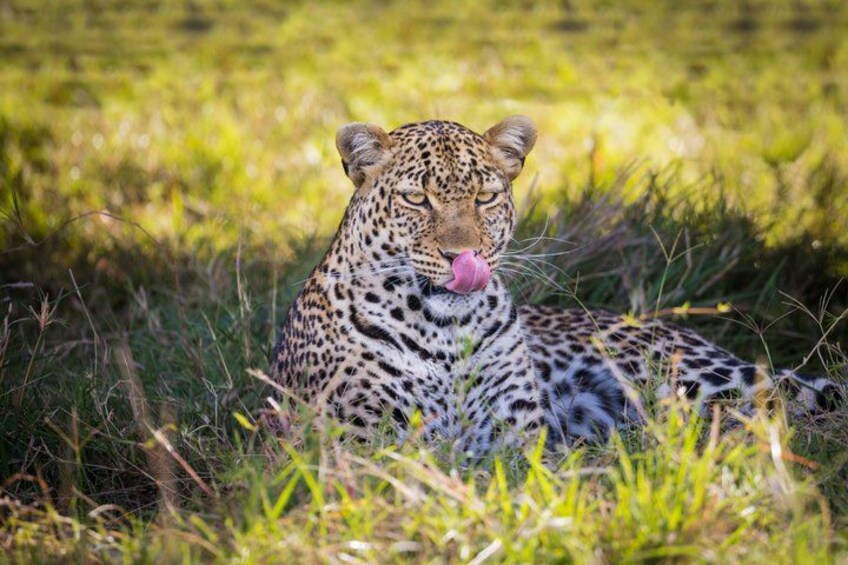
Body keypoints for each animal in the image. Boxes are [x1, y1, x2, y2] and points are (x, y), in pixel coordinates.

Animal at [270, 116, 842, 454]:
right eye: (417, 199)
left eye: (484, 197)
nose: (463, 257)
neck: (444, 329)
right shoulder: (361, 443)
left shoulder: (517, 437)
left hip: (695, 374)